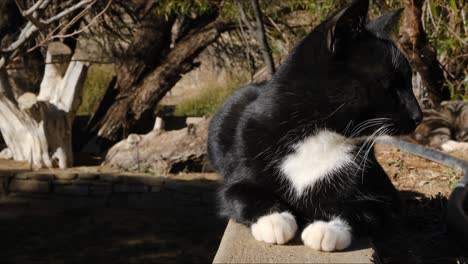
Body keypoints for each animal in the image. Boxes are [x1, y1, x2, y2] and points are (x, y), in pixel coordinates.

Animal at [207, 0, 422, 252]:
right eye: (390, 85)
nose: (419, 116)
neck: (317, 135)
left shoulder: (385, 198)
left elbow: (363, 209)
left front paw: (326, 229)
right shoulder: (239, 171)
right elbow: (239, 193)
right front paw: (275, 220)